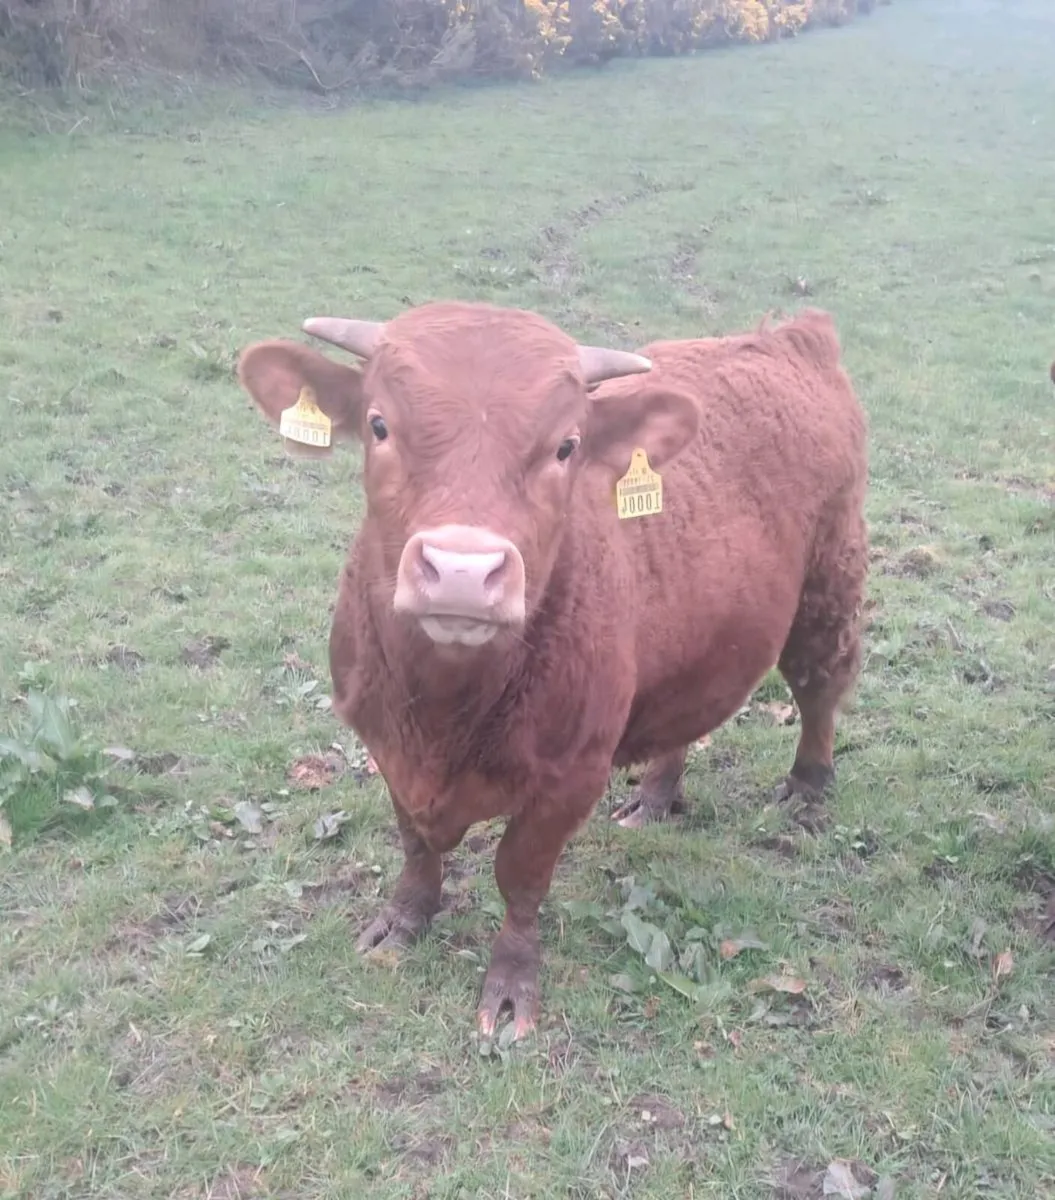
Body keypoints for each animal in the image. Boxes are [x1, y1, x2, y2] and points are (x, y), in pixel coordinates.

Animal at [236, 300, 869, 1041]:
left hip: (830, 578)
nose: (461, 571)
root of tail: (789, 334)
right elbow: (415, 846)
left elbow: (519, 876)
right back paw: (656, 796)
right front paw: (403, 921)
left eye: (566, 446)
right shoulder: (381, 742)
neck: (440, 715)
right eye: (378, 423)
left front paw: (510, 984)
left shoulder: (572, 775)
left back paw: (807, 786)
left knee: (820, 685)